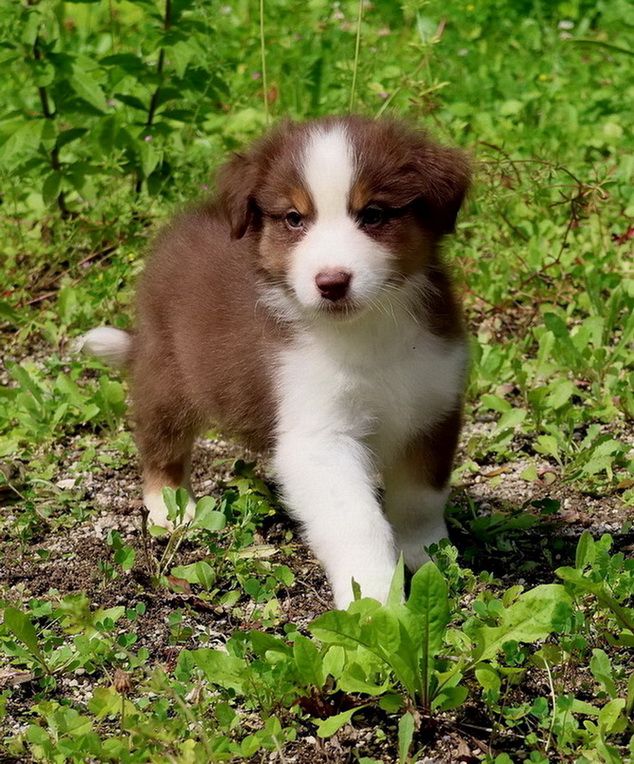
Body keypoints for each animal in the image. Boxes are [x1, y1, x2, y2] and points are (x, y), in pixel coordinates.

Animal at [81, 116, 470, 609]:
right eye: (293, 218)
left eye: (374, 215)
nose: (331, 282)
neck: (366, 332)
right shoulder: (317, 435)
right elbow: (357, 521)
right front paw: (375, 599)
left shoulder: (432, 408)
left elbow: (422, 497)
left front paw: (427, 553)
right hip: (167, 373)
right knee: (160, 444)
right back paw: (171, 508)